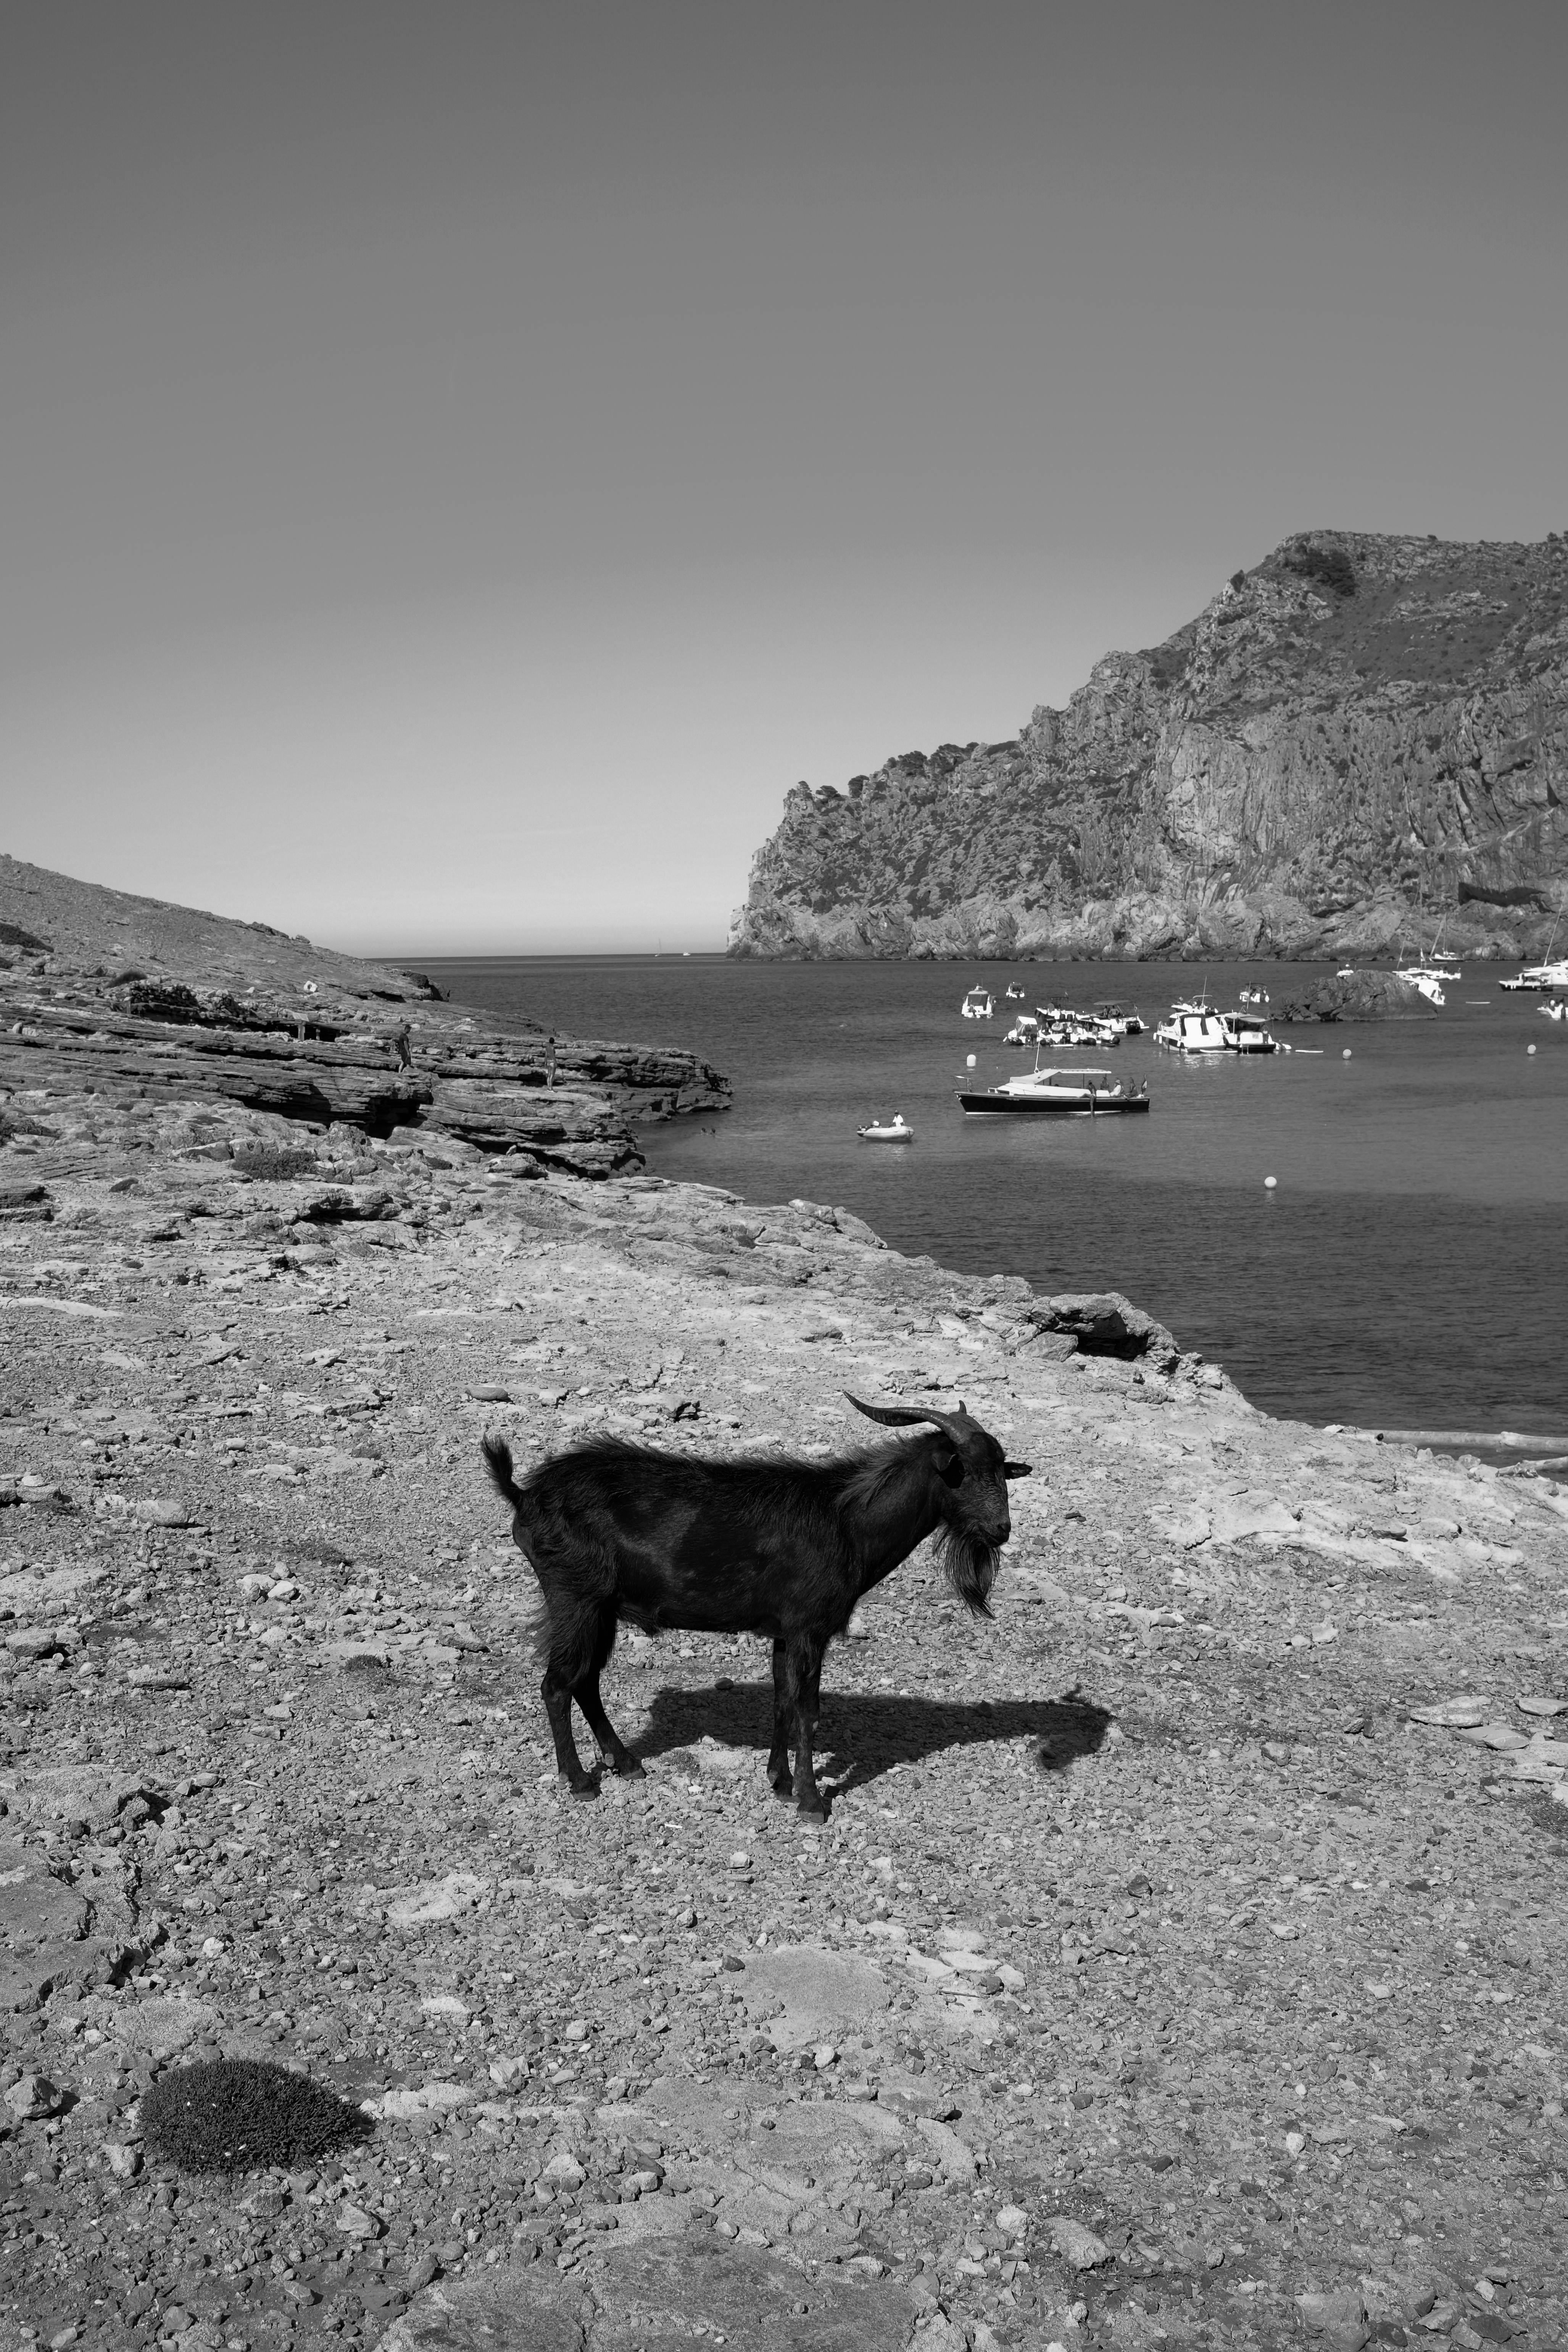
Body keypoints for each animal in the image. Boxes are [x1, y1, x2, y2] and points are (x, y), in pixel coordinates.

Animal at [481, 1395, 1030, 1816]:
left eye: (1001, 1470)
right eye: (963, 1472)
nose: (1000, 1529)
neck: (848, 1523)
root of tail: (524, 1494)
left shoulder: (785, 1631)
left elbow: (782, 1701)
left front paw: (780, 1781)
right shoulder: (810, 1628)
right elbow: (808, 1709)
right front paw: (811, 1800)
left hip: (602, 1609)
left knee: (586, 1681)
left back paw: (627, 1763)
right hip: (574, 1597)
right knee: (558, 1683)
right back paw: (579, 1780)